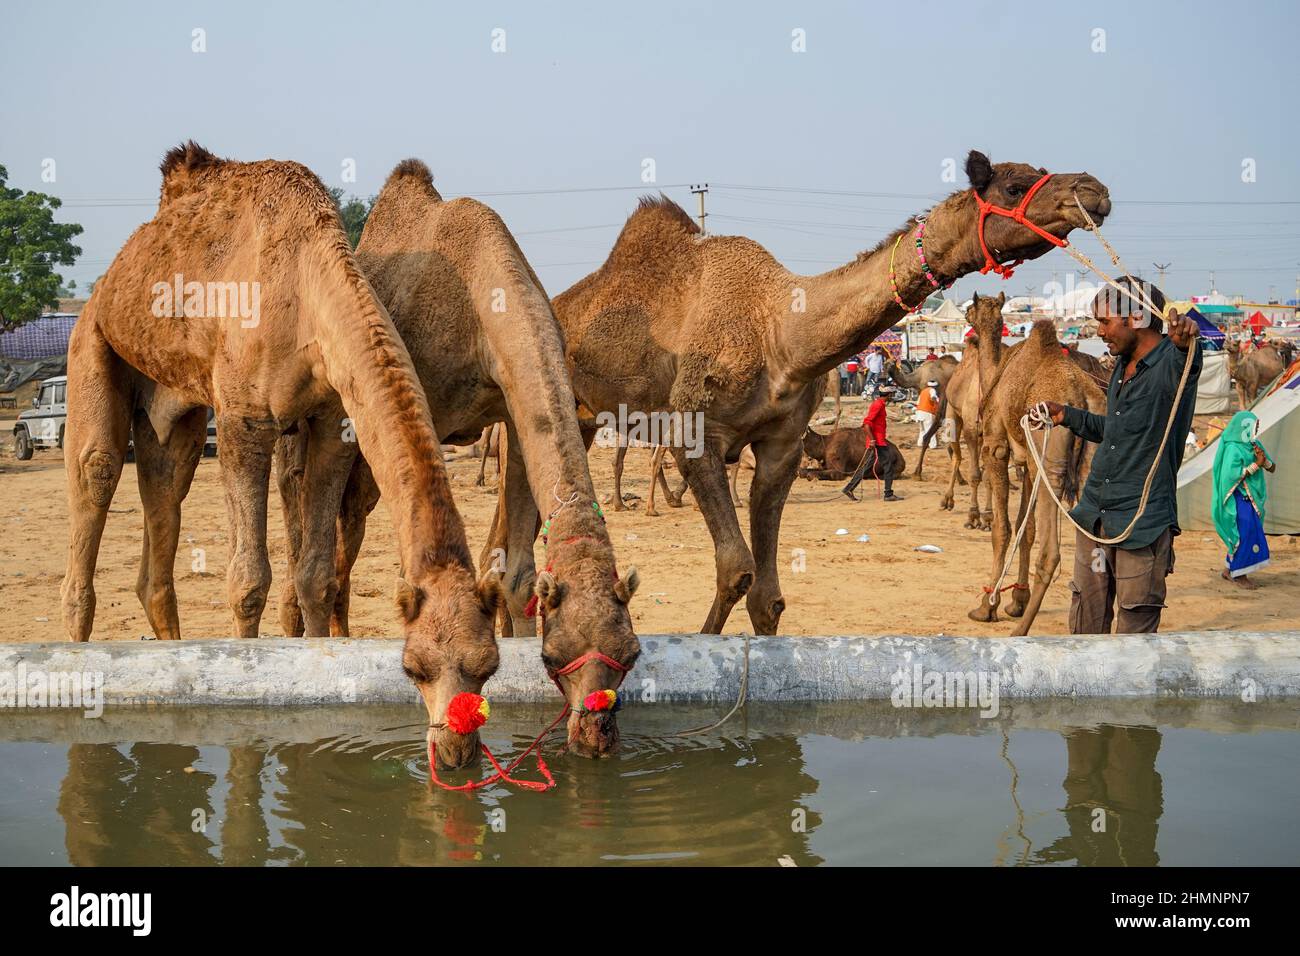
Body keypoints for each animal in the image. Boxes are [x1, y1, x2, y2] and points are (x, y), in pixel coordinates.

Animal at [62, 144, 498, 768]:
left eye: (490, 666)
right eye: (413, 667)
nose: (457, 750)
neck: (307, 290)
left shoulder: (332, 423)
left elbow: (315, 575)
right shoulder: (244, 420)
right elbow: (248, 584)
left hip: (175, 401)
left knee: (166, 484)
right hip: (93, 339)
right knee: (95, 468)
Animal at [969, 319, 1106, 634]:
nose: (968, 318)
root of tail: (1081, 396)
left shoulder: (996, 445)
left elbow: (1003, 529)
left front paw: (987, 606)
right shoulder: (1028, 461)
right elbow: (1025, 529)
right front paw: (1017, 601)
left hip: (1048, 452)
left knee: (1051, 553)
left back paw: (1020, 630)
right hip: (1090, 456)